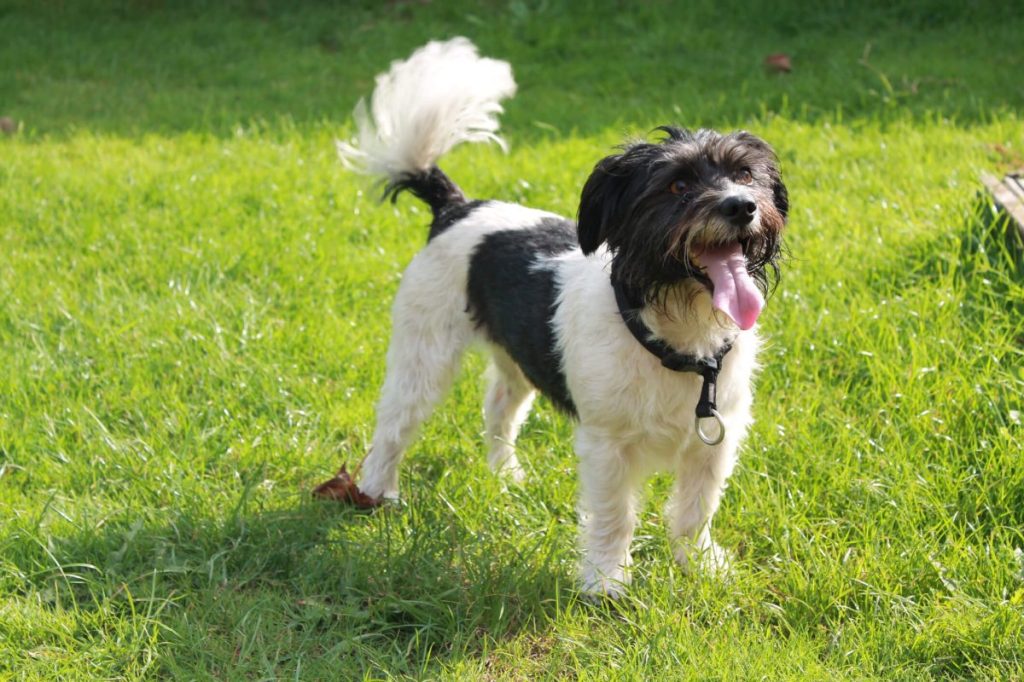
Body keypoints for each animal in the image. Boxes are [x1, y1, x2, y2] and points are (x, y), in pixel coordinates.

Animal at [331, 37, 786, 593]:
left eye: (744, 174)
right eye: (677, 187)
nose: (742, 205)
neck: (676, 334)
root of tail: (456, 206)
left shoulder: (716, 438)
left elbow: (696, 509)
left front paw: (699, 565)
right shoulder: (607, 445)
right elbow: (615, 514)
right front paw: (606, 582)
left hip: (517, 358)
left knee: (499, 408)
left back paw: (505, 476)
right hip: (424, 353)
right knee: (395, 422)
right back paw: (376, 493)